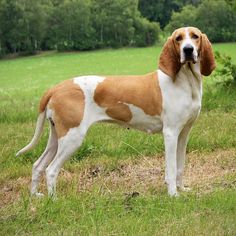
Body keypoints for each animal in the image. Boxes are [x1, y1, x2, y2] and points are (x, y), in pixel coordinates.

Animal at [16, 26, 216, 197]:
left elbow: (180, 166)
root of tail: (56, 88)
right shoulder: (170, 134)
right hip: (72, 138)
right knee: (51, 170)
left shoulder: (183, 134)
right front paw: (173, 194)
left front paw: (182, 189)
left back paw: (35, 196)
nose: (188, 50)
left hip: (57, 138)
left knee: (38, 166)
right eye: (178, 38)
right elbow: (171, 168)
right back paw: (54, 200)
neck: (186, 81)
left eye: (195, 36)